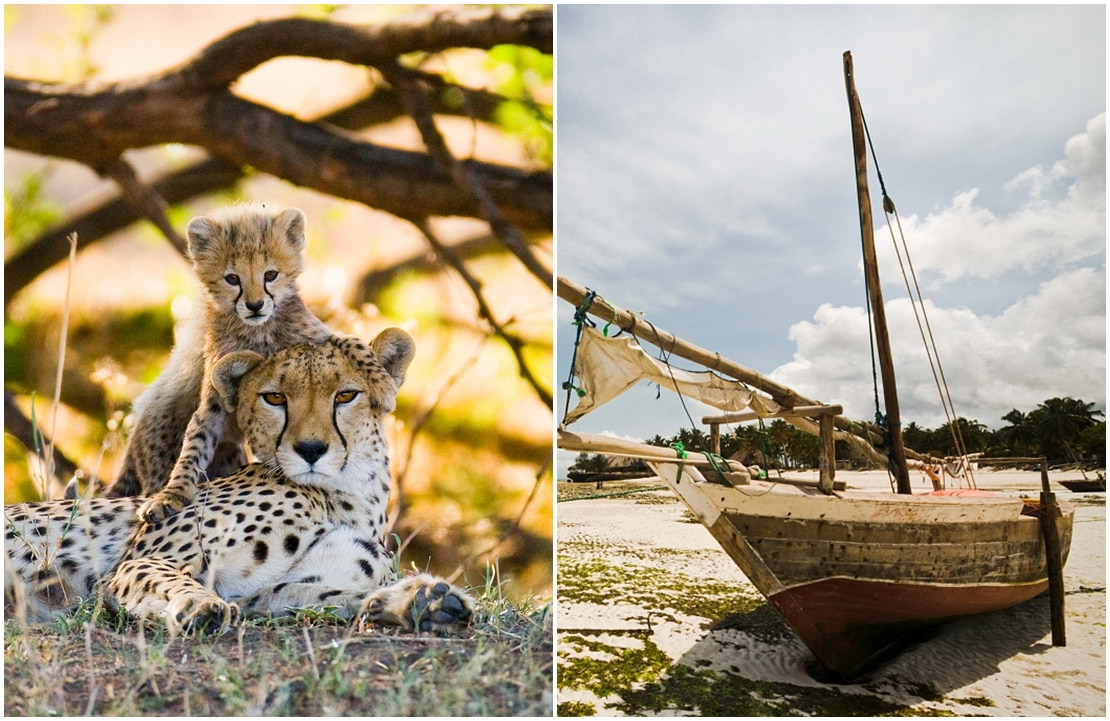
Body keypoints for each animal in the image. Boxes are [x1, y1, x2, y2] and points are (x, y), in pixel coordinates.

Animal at [0, 328, 470, 630]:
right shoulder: (132, 562)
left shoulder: (266, 593)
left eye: (346, 395)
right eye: (275, 397)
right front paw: (196, 603)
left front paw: (424, 602)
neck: (346, 494)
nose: (311, 449)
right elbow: (163, 576)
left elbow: (333, 597)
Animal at [102, 199, 330, 519]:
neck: (258, 333)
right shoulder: (213, 404)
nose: (255, 305)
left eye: (270, 275)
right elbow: (193, 447)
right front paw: (171, 495)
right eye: (232, 279)